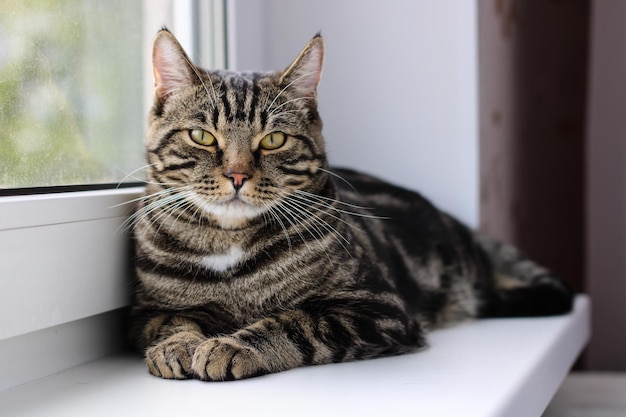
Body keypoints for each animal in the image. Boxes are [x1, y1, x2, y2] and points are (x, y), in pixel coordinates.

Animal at [129, 29, 572, 380]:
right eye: (202, 136)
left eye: (274, 140)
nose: (238, 176)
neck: (229, 248)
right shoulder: (148, 310)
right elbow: (173, 320)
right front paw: (179, 346)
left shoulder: (378, 309)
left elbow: (294, 323)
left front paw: (233, 345)